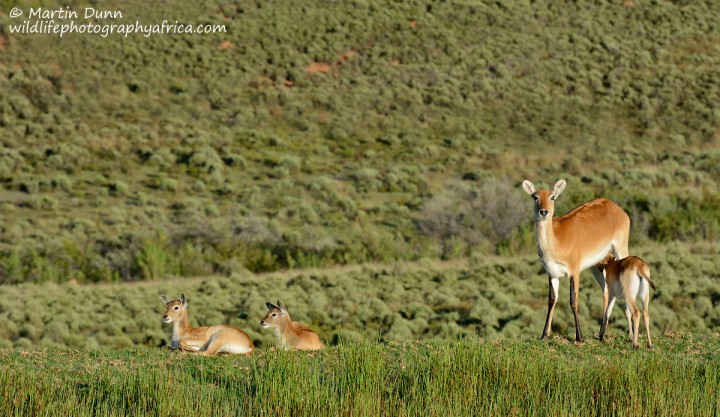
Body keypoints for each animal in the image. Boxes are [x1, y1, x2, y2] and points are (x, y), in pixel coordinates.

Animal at [524, 179, 632, 342]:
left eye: (552, 197)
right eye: (535, 196)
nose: (544, 212)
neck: (556, 242)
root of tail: (615, 206)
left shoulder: (574, 271)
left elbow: (573, 300)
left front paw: (579, 336)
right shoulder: (552, 273)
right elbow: (551, 300)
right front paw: (544, 335)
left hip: (621, 250)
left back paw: (631, 336)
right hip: (597, 266)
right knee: (607, 291)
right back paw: (601, 334)